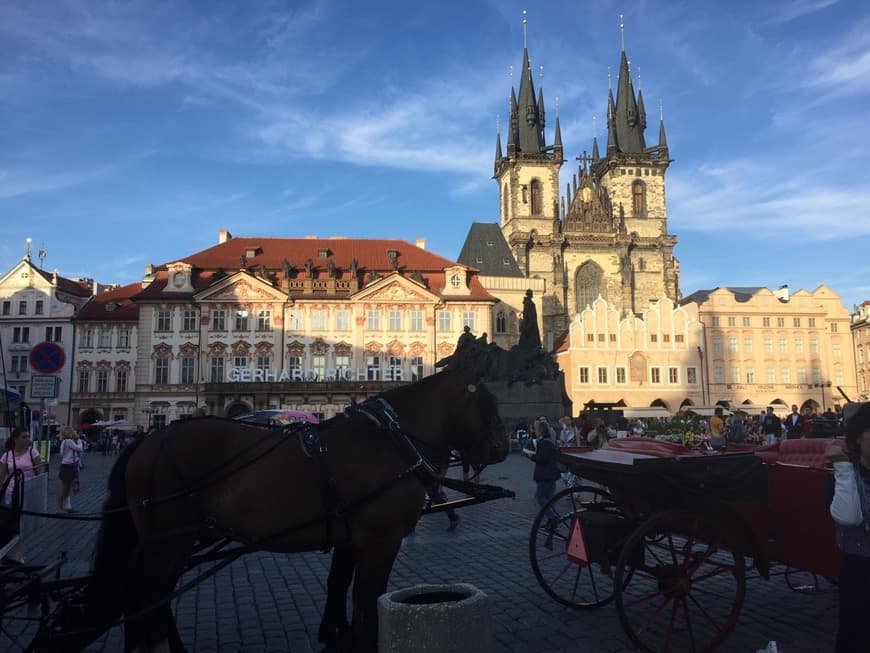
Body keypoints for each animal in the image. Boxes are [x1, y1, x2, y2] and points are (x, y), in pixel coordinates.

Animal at [29, 364, 510, 648]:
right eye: (489, 403)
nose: (503, 448)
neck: (390, 439)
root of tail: (149, 438)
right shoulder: (381, 539)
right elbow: (367, 600)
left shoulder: (349, 535)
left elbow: (339, 586)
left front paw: (332, 633)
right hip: (169, 542)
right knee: (148, 599)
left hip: (169, 543)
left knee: (149, 600)